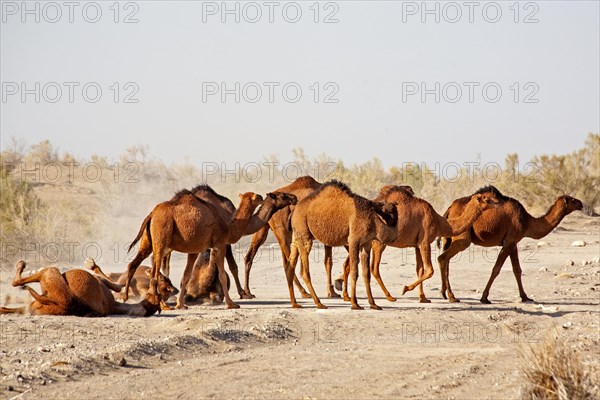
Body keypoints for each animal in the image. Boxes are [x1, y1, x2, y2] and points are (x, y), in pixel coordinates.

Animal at [123, 188, 262, 310]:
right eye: (255, 197)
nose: (261, 197)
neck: (227, 228)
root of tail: (152, 214)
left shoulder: (194, 250)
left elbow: (186, 275)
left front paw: (181, 305)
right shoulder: (219, 244)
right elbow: (222, 274)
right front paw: (231, 304)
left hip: (148, 241)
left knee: (136, 264)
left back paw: (127, 297)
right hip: (161, 236)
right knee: (154, 273)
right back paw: (162, 305)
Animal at [286, 180, 398, 310]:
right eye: (390, 210)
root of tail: (294, 211)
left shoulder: (366, 243)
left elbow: (366, 273)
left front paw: (373, 304)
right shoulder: (354, 240)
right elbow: (354, 272)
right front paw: (355, 304)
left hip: (296, 236)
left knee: (290, 266)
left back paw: (295, 303)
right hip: (304, 235)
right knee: (304, 271)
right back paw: (319, 303)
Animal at [336, 186, 500, 302]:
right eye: (487, 199)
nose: (498, 203)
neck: (440, 222)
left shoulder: (417, 244)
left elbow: (420, 270)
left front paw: (424, 298)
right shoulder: (425, 241)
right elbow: (429, 270)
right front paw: (405, 288)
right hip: (378, 243)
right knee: (374, 268)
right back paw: (389, 296)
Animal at [438, 187, 584, 304]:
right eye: (572, 199)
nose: (581, 203)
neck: (527, 221)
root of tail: (450, 208)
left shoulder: (513, 244)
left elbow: (517, 270)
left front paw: (525, 297)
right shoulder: (509, 242)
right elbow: (496, 269)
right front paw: (484, 298)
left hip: (448, 238)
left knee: (445, 260)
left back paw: (444, 293)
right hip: (462, 237)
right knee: (444, 258)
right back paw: (452, 297)